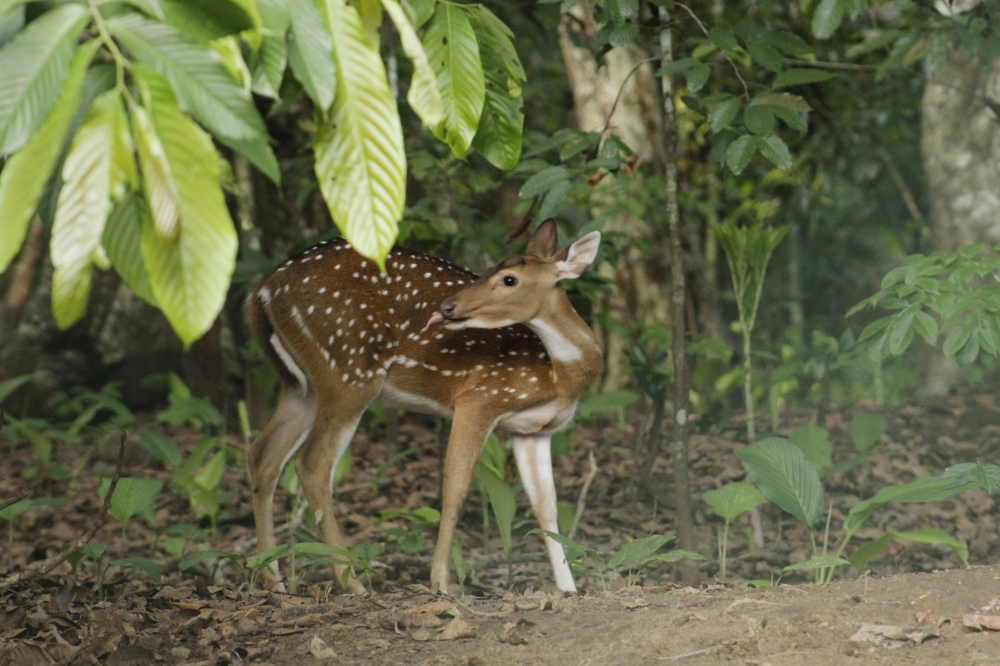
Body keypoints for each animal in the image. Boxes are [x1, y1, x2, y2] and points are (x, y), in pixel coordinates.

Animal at [247, 219, 602, 594]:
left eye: (509, 279)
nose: (447, 308)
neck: (558, 375)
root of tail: (263, 289)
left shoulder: (533, 430)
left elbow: (546, 506)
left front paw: (569, 589)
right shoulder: (480, 397)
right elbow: (455, 489)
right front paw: (441, 584)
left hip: (301, 386)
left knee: (263, 454)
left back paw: (271, 579)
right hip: (349, 368)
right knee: (313, 464)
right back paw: (352, 583)